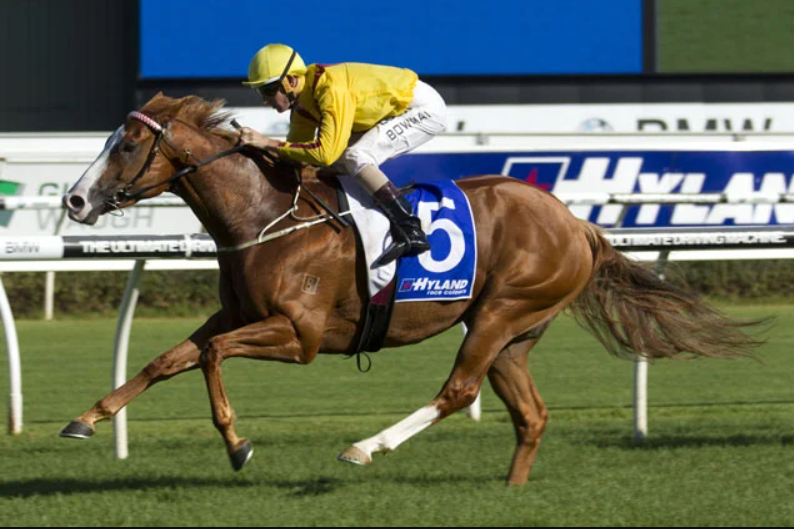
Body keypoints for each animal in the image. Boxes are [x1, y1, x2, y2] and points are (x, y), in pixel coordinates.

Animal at [60, 94, 764, 486]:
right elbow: (166, 359)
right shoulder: (235, 313)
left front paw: (238, 446)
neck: (268, 216)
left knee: (457, 391)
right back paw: (510, 492)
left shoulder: (301, 336)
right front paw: (86, 418)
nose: (74, 201)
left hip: (502, 311)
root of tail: (577, 223)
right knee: (530, 414)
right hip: (512, 334)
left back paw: (364, 448)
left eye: (127, 145)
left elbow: (209, 356)